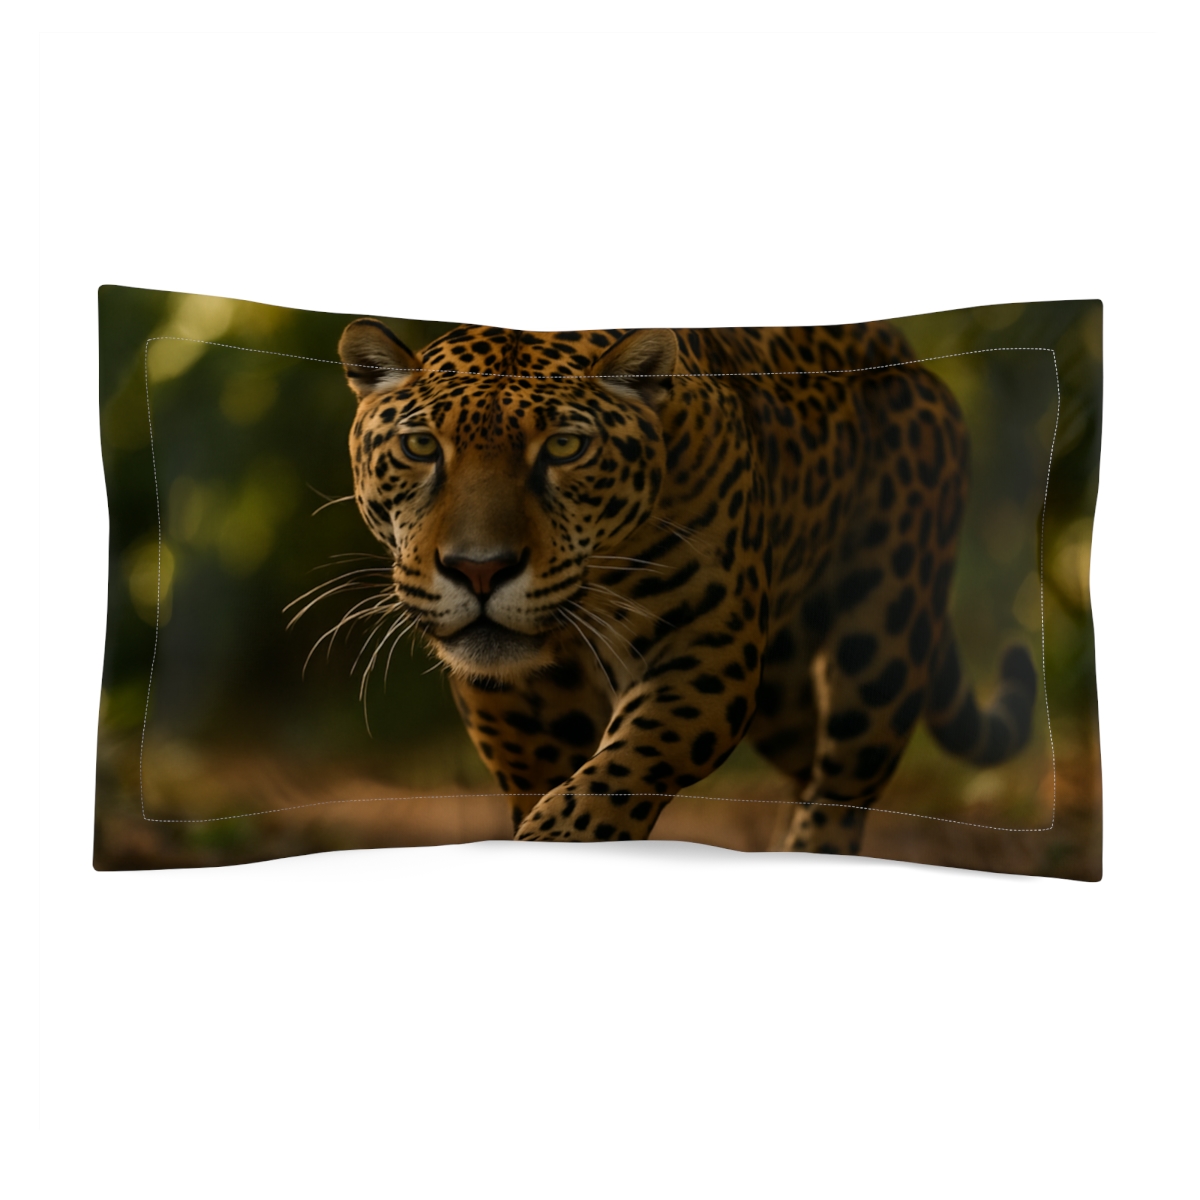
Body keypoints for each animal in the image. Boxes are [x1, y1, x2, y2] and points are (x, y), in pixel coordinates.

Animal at [336, 317, 1037, 852]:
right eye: (421, 447)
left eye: (564, 448)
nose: (479, 569)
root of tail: (905, 350)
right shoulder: (514, 702)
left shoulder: (705, 652)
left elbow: (615, 777)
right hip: (785, 694)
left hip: (882, 647)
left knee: (840, 796)